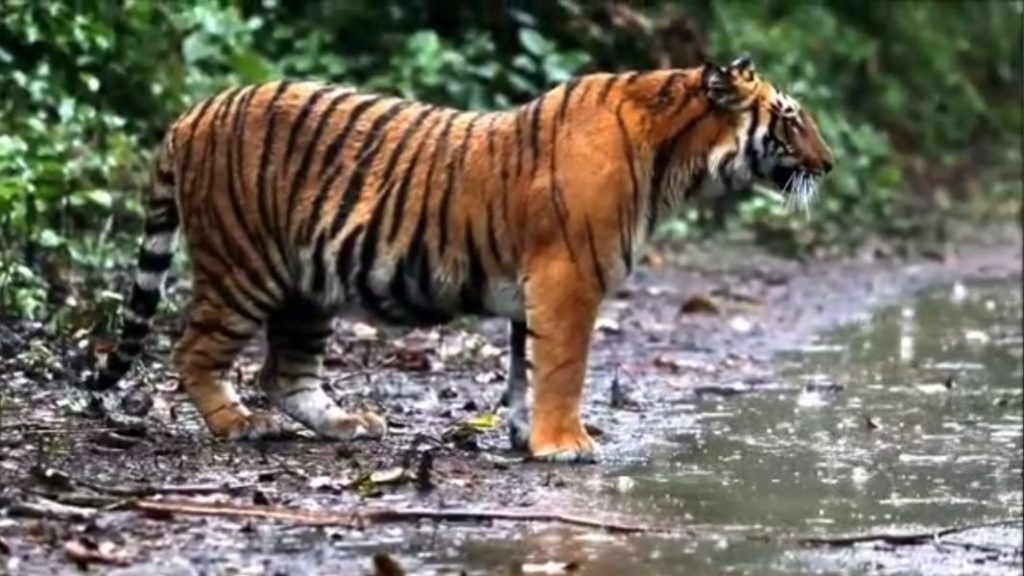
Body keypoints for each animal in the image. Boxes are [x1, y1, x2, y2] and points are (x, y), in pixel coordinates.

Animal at [88, 55, 834, 463]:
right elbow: (563, 369)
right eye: (791, 118)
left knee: (285, 371)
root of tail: (192, 113)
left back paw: (348, 424)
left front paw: (526, 438)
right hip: (244, 265)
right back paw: (240, 425)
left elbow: (526, 370)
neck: (678, 159)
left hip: (307, 286)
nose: (828, 166)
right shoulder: (569, 281)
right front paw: (566, 444)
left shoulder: (536, 289)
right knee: (192, 352)